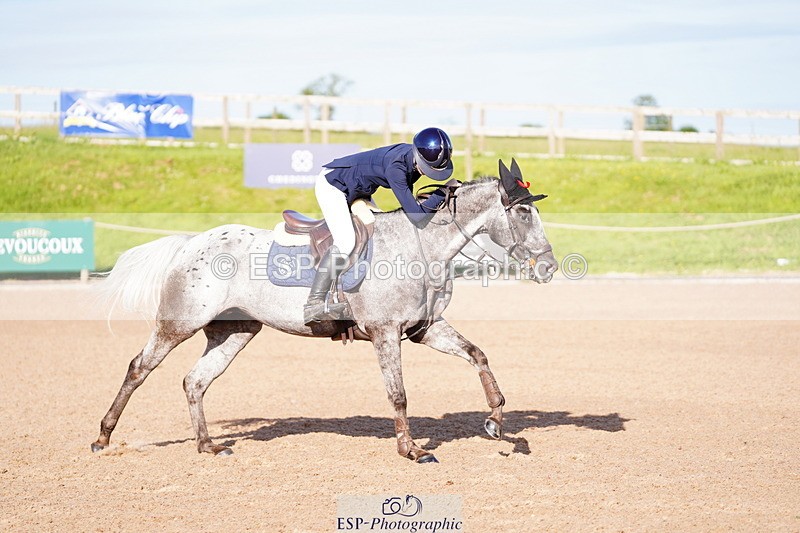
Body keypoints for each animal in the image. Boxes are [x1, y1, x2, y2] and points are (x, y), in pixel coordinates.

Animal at [91, 159, 558, 463]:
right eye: (522, 211)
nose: (549, 267)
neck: (420, 248)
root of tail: (192, 242)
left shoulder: (426, 329)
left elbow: (478, 356)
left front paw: (496, 422)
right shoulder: (386, 332)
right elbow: (399, 395)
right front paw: (411, 450)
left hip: (235, 332)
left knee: (195, 380)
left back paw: (208, 445)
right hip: (180, 323)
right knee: (139, 368)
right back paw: (103, 438)